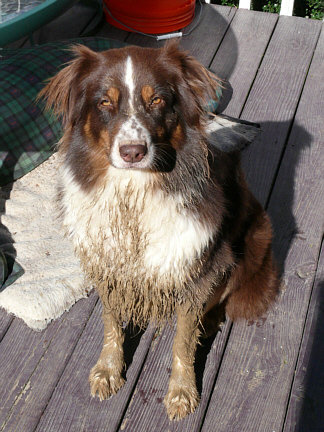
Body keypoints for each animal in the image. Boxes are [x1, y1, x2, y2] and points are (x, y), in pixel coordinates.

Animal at [39, 42, 278, 420]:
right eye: (104, 102)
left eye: (157, 101)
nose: (133, 152)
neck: (132, 193)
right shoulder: (107, 264)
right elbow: (110, 321)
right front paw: (108, 369)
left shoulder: (196, 270)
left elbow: (182, 340)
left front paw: (181, 392)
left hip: (252, 242)